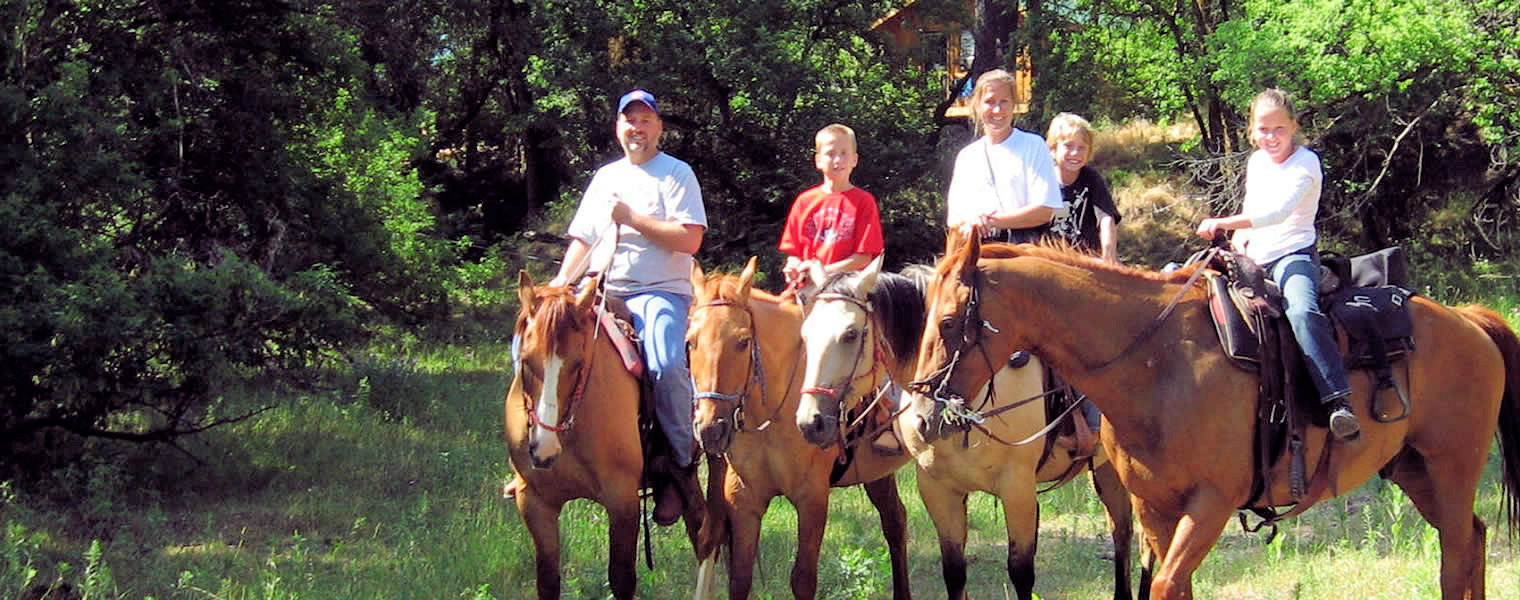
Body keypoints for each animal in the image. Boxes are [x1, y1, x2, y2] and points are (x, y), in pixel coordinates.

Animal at [504, 273, 717, 600]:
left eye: (578, 364)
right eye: (527, 361)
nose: (543, 450)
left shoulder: (622, 502)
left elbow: (621, 579)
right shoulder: (534, 503)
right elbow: (548, 582)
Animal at [690, 261, 912, 600]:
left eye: (742, 342)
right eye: (691, 342)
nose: (710, 427)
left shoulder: (812, 499)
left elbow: (803, 579)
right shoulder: (744, 500)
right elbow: (739, 579)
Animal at [790, 256, 1143, 600]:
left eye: (850, 333)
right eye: (804, 335)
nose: (811, 422)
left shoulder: (1018, 488)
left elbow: (1021, 573)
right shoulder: (938, 489)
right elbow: (954, 572)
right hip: (1108, 469)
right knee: (1122, 530)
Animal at [905, 230, 1513, 600]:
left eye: (952, 321)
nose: (921, 418)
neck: (1157, 364)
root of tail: (1469, 321)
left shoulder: (1212, 504)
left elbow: (1165, 585)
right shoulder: (1154, 508)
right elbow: (1175, 586)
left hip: (1452, 468)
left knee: (1457, 552)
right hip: (1415, 470)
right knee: (1474, 538)